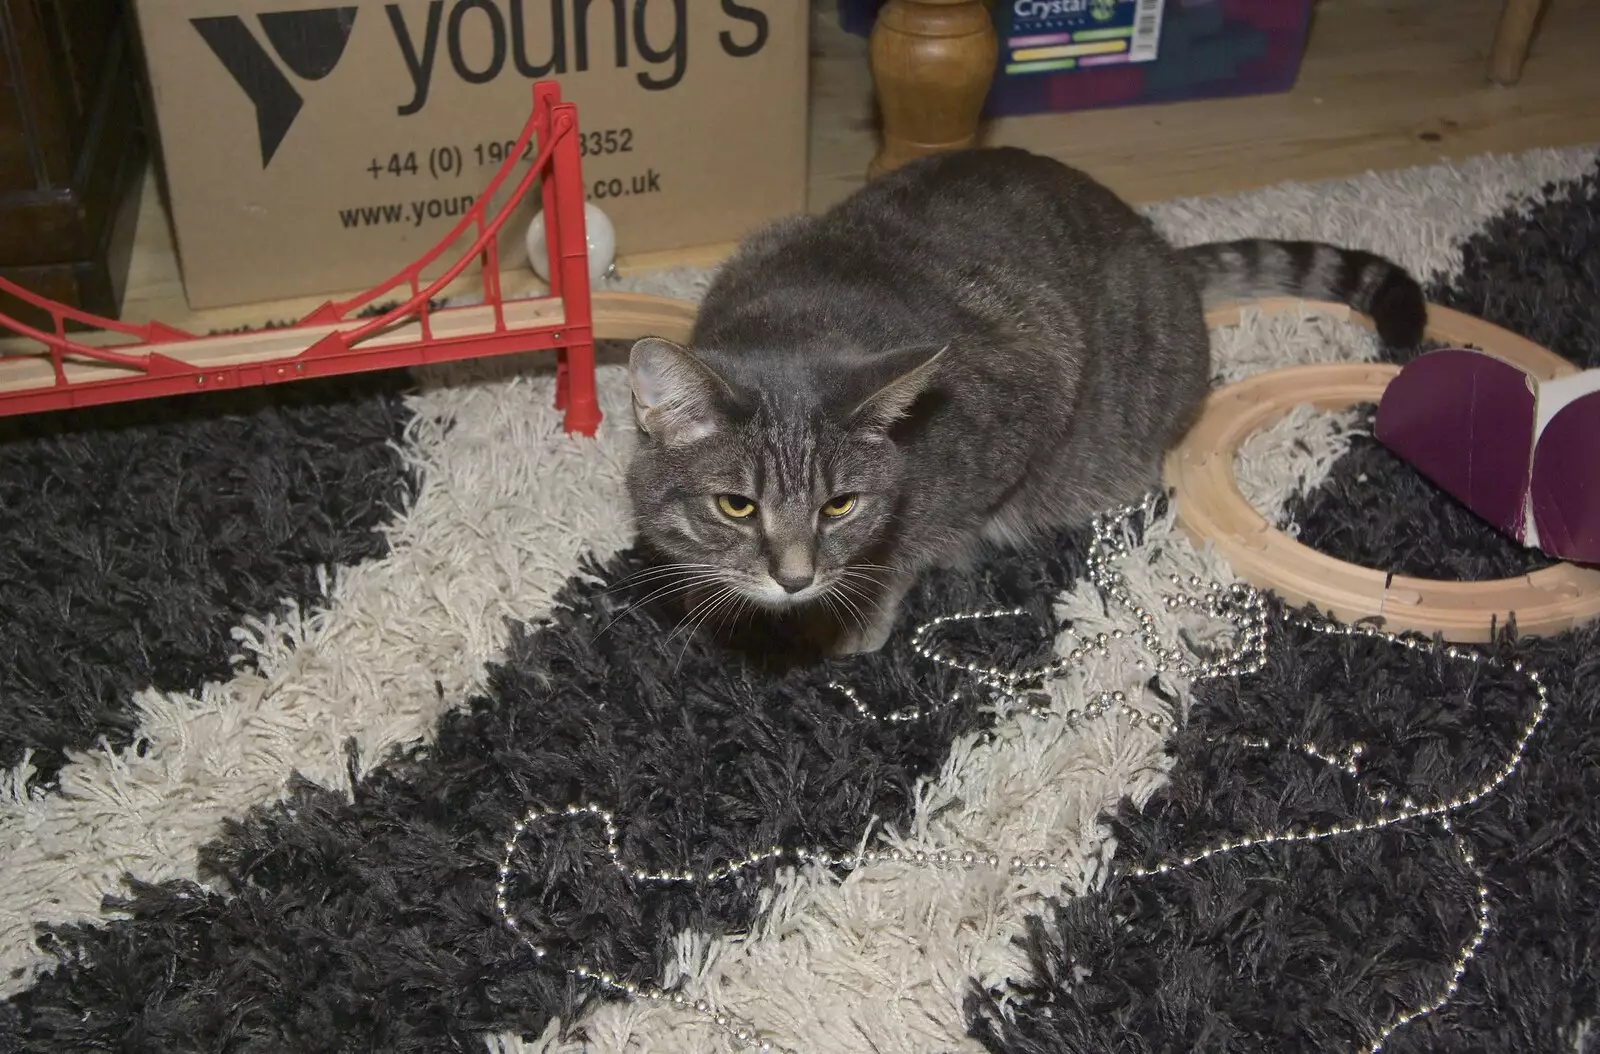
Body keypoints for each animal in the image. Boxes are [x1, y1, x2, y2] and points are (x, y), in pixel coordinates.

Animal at [624, 143, 1427, 655]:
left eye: (839, 506)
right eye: (737, 506)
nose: (795, 580)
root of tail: (1165, 251)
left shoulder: (1023, 395)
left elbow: (913, 542)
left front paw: (858, 616)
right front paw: (704, 597)